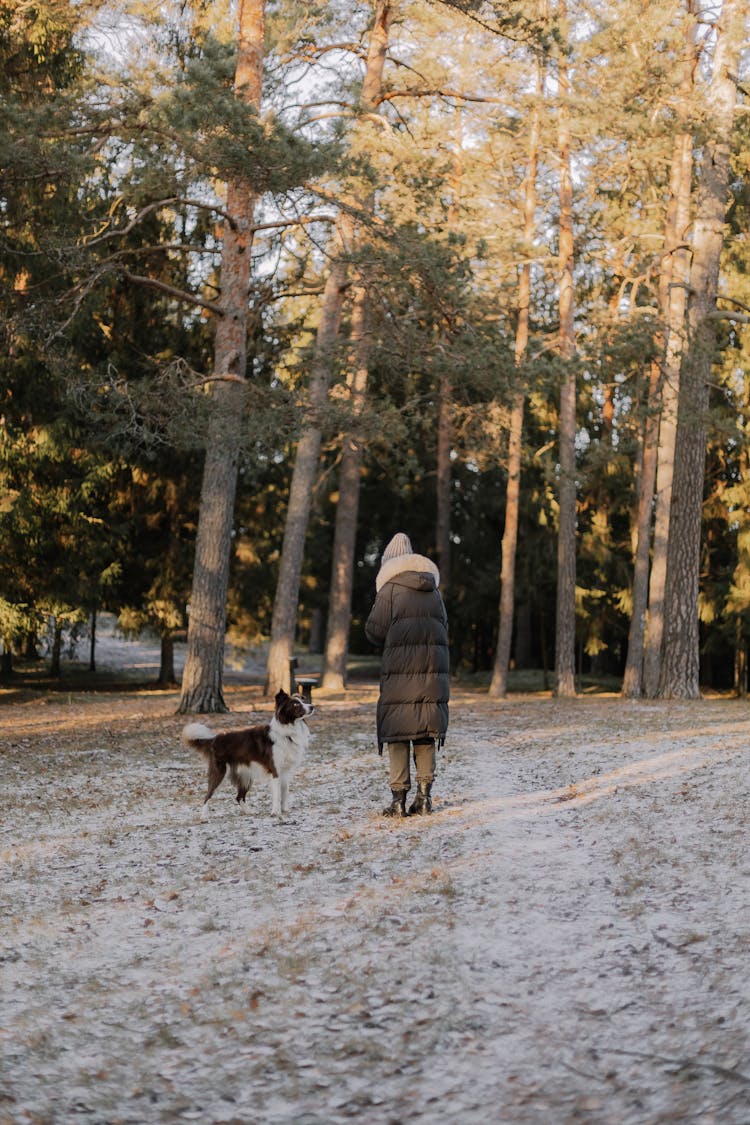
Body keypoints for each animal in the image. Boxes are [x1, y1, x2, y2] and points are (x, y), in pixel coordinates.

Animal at [184, 684, 314, 819]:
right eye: (295, 704)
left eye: (303, 701)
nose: (312, 706)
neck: (286, 732)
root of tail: (215, 739)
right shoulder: (275, 771)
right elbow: (277, 794)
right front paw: (275, 812)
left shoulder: (285, 771)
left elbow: (285, 792)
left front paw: (284, 810)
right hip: (220, 772)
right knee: (208, 795)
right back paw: (204, 816)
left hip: (246, 775)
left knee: (239, 797)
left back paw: (249, 812)